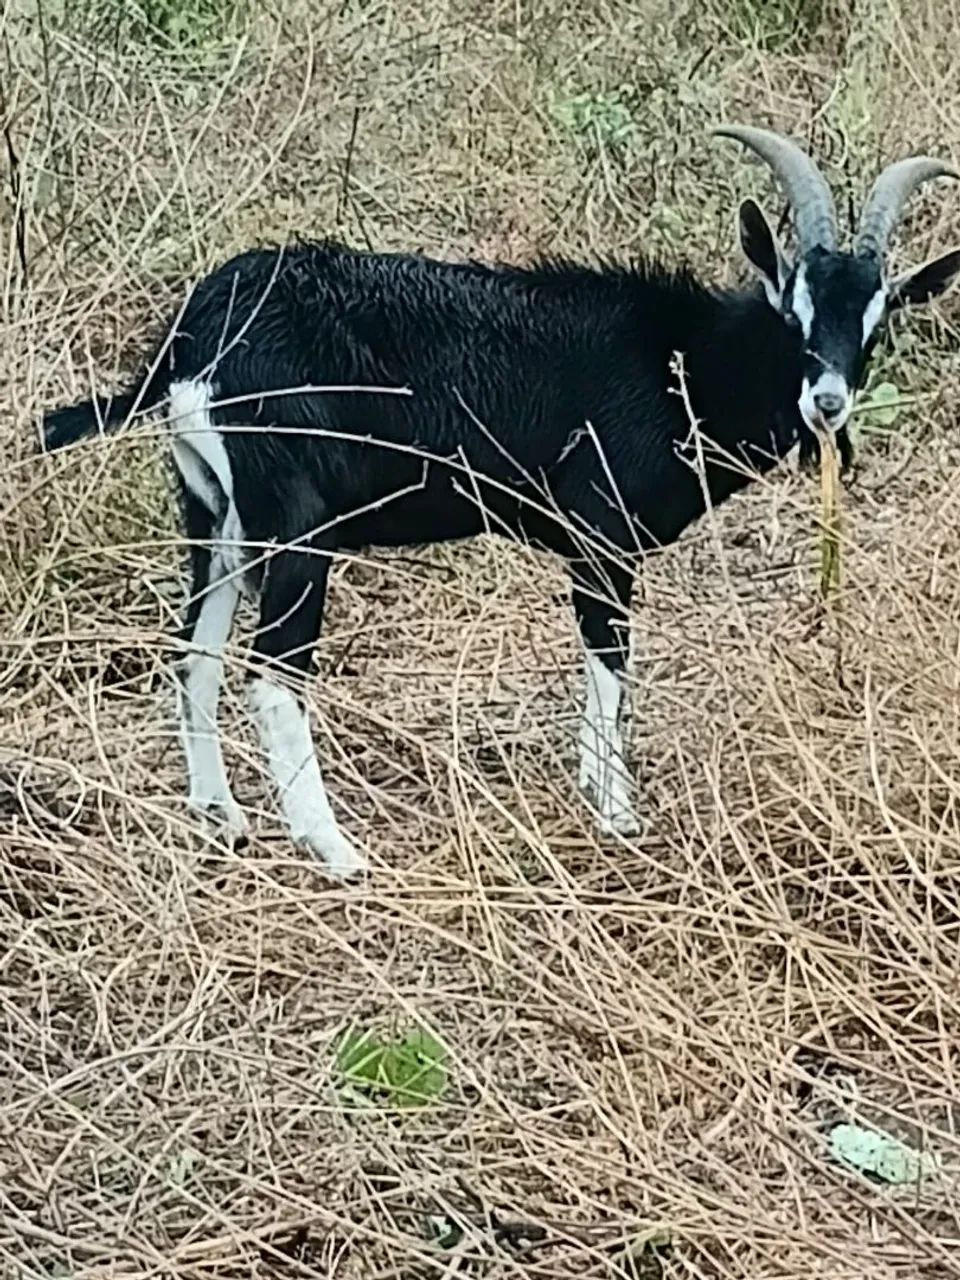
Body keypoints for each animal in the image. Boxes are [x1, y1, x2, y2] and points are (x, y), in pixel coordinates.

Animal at [42, 125, 960, 879]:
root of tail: (193, 339)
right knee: (273, 673)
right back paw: (334, 850)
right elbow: (609, 664)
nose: (828, 403)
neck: (680, 362)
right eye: (794, 311)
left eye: (876, 320)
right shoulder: (601, 536)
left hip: (216, 515)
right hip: (298, 526)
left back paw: (220, 815)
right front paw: (616, 810)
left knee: (191, 652)